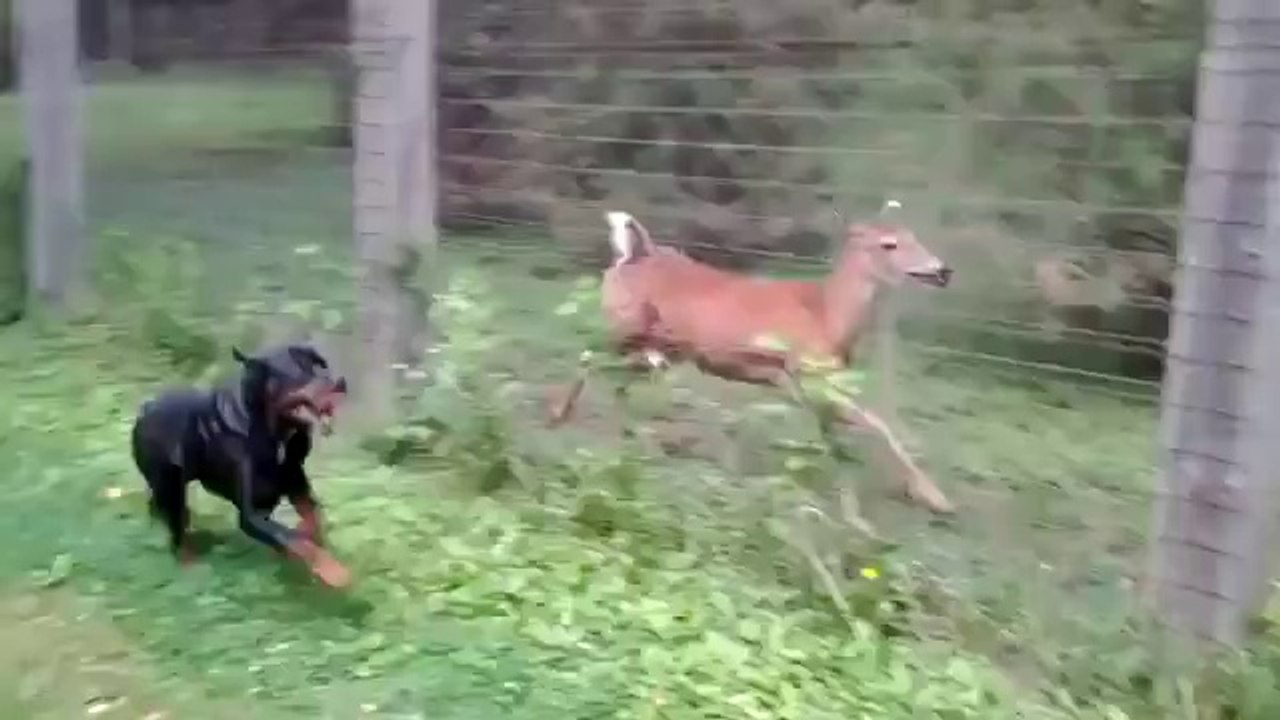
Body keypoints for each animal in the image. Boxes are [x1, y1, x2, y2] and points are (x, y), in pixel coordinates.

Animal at [547, 201, 956, 515]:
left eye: (915, 236)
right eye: (889, 244)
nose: (943, 270)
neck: (827, 315)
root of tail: (630, 256)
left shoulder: (811, 384)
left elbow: (842, 442)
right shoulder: (802, 376)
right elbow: (879, 426)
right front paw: (935, 498)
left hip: (659, 348)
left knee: (617, 377)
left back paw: (629, 437)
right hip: (626, 329)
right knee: (589, 354)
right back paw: (561, 415)